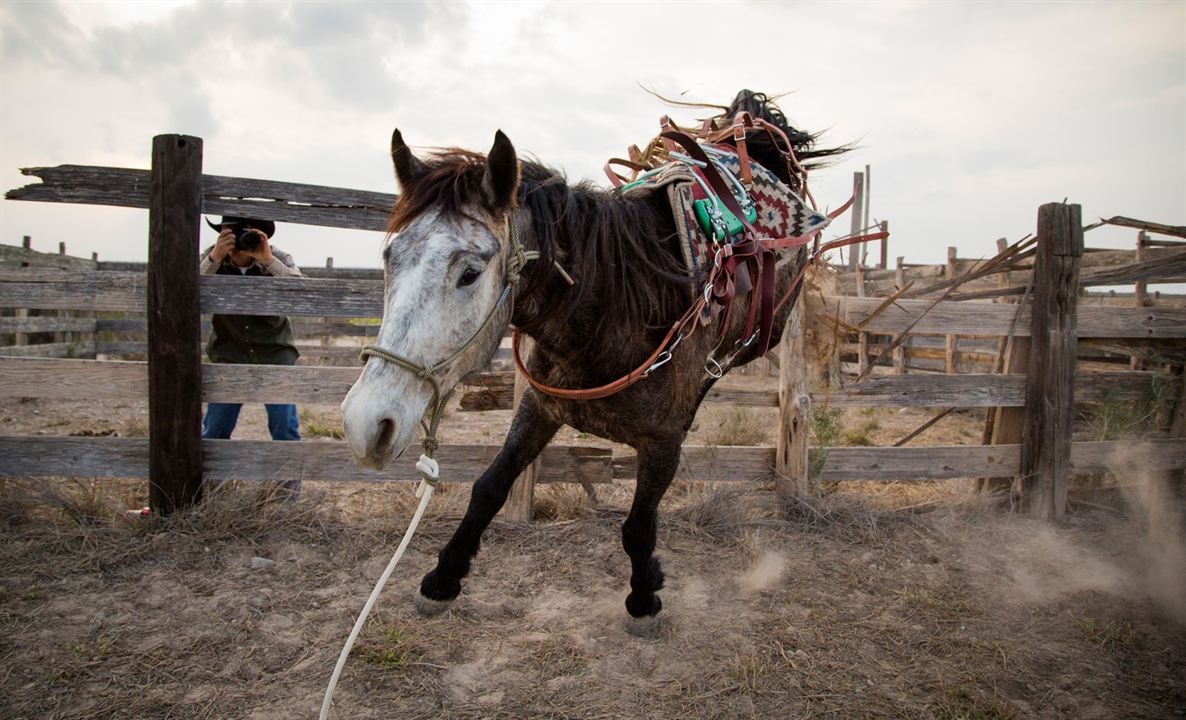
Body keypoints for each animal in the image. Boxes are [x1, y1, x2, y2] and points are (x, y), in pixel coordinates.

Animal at [343, 90, 844, 635]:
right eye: (390, 258)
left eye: (470, 273)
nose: (365, 424)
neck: (620, 303)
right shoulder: (539, 409)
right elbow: (488, 489)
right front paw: (442, 579)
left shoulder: (663, 444)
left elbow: (638, 527)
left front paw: (643, 598)